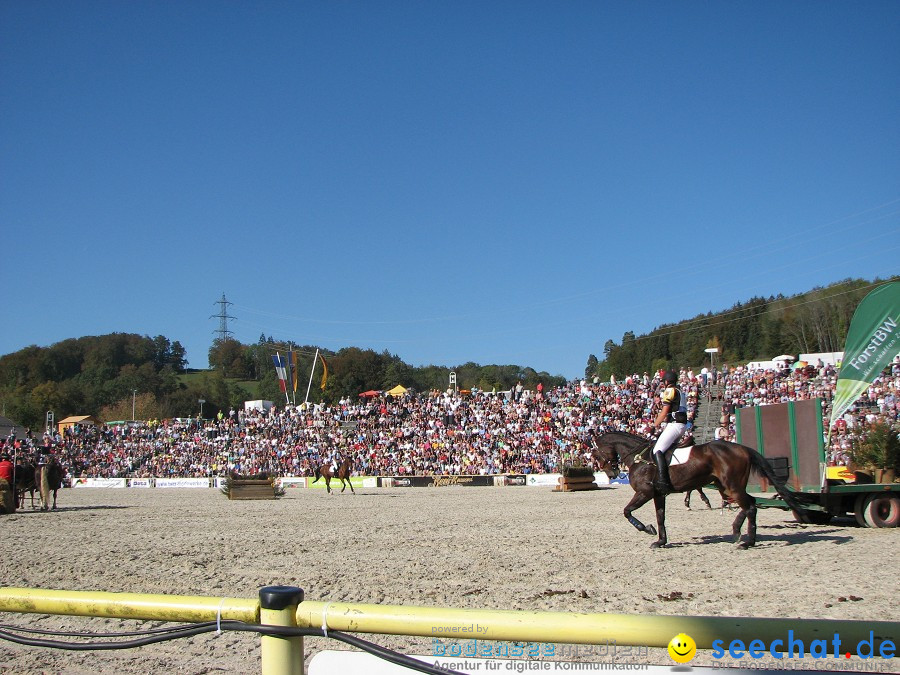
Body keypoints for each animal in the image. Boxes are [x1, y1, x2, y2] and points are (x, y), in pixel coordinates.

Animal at [592, 434, 800, 548]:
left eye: (596, 454)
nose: (611, 473)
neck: (638, 457)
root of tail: (743, 448)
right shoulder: (658, 494)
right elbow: (660, 517)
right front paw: (660, 541)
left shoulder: (645, 492)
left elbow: (627, 511)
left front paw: (646, 529)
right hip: (727, 486)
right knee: (751, 503)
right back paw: (737, 532)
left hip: (731, 486)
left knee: (750, 507)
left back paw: (747, 542)